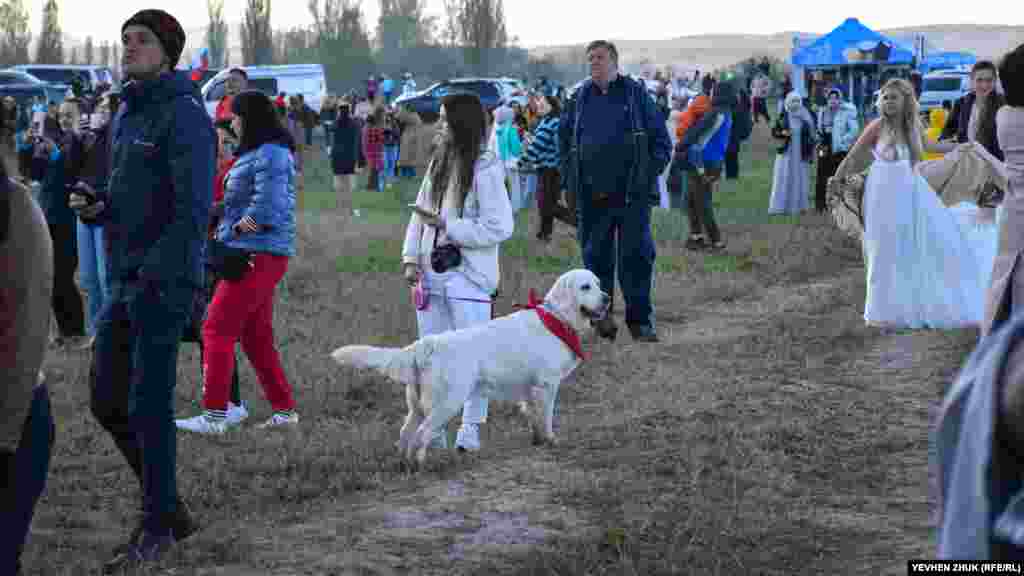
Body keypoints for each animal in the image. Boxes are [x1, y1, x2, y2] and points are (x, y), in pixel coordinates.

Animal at [331, 268, 610, 461]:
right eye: (585, 287)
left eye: (598, 283)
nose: (607, 298)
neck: (557, 319)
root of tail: (428, 343)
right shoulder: (547, 385)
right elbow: (547, 417)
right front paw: (551, 440)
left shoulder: (530, 390)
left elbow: (534, 417)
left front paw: (538, 440)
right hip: (448, 402)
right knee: (421, 434)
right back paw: (421, 465)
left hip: (418, 405)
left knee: (405, 434)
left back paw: (404, 464)